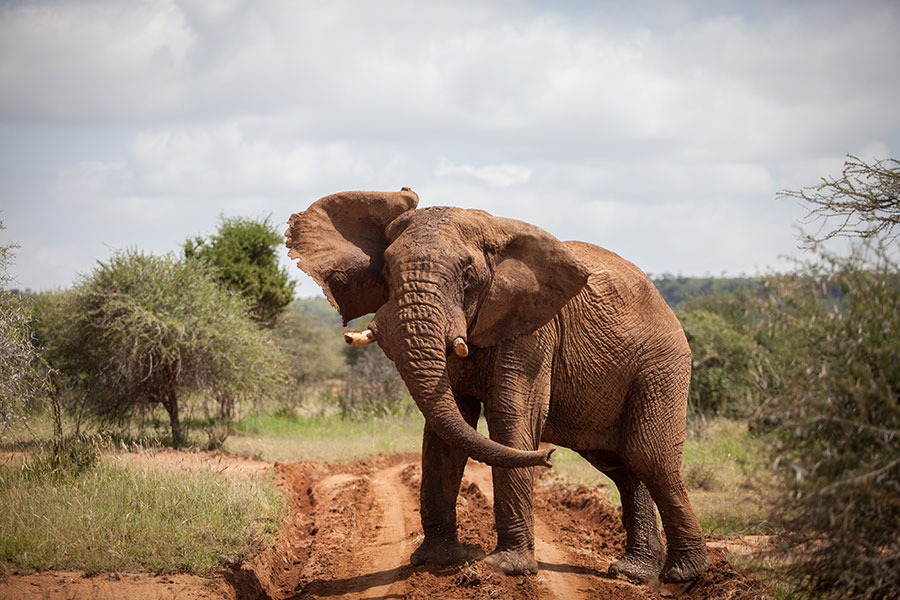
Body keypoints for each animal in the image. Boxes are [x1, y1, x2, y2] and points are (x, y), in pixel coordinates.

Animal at [286, 186, 712, 580]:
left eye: (467, 275)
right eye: (386, 270)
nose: (548, 456)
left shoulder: (532, 330)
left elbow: (510, 418)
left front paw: (506, 569)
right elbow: (447, 429)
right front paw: (436, 562)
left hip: (662, 365)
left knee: (648, 456)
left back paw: (684, 575)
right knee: (620, 463)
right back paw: (634, 573)